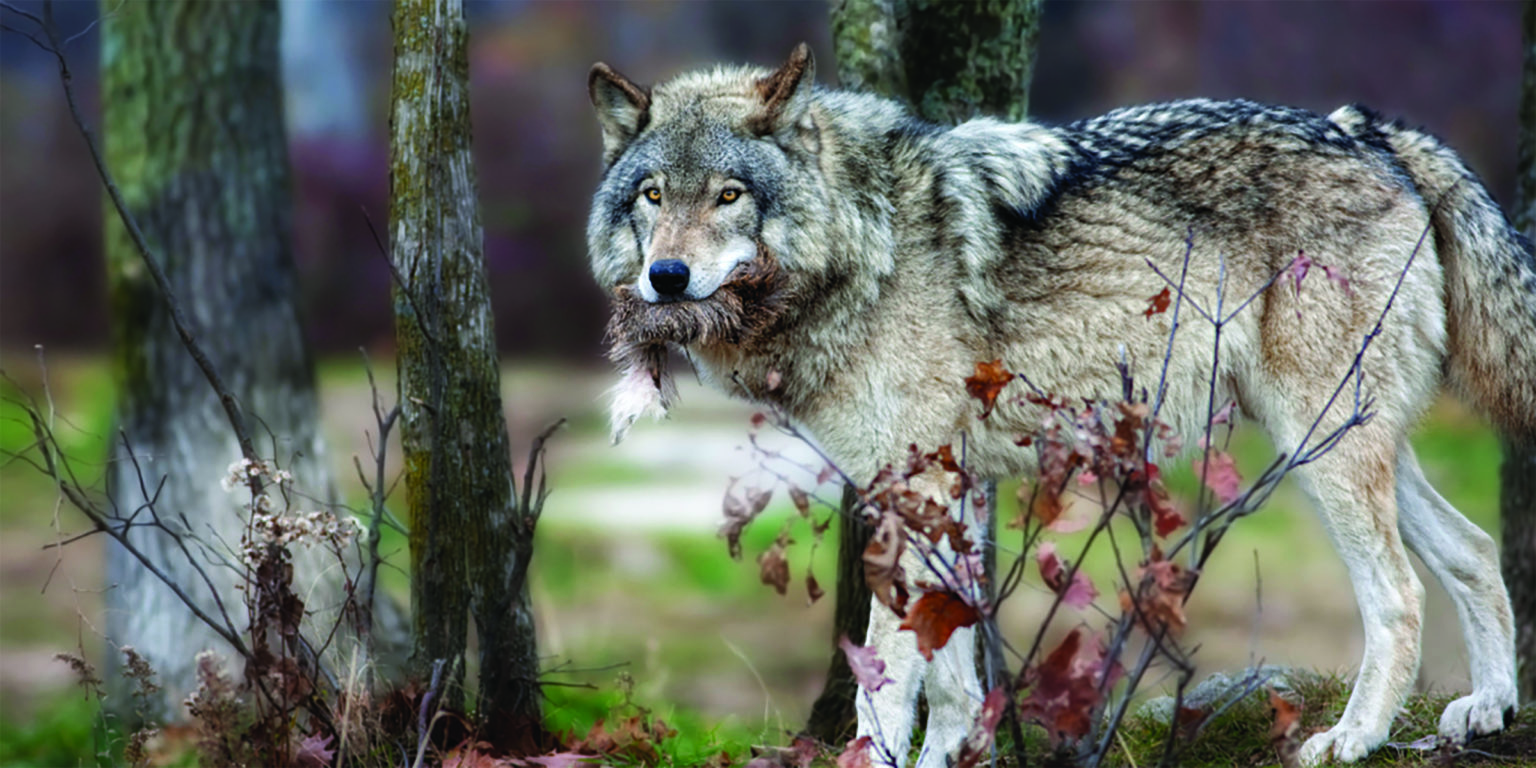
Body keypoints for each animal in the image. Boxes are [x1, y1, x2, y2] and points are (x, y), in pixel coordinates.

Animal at [585, 43, 1534, 767]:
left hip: (1322, 446)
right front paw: (952, 759)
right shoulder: (949, 486)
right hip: (1339, 442)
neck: (865, 242)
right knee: (1476, 548)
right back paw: (1488, 707)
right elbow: (954, 675)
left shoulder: (912, 483)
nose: (666, 277)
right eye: (653, 196)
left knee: (1399, 594)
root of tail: (1368, 130)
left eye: (729, 195)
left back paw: (1354, 738)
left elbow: (888, 685)